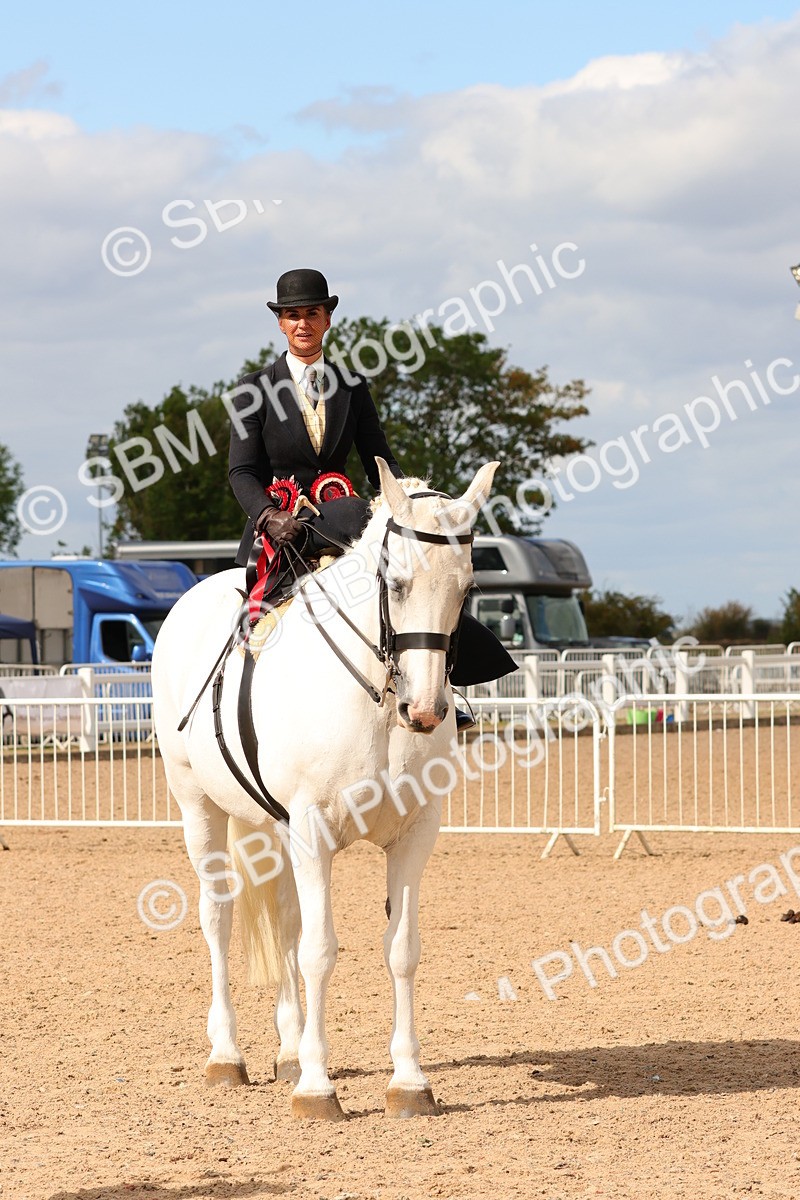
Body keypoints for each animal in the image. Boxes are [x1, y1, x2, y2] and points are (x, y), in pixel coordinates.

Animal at [151, 457, 498, 1119]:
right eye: (396, 583)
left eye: (466, 589)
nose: (425, 710)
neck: (377, 699)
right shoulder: (312, 831)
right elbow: (320, 950)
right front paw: (317, 1087)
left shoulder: (415, 834)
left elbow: (401, 949)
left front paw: (408, 1082)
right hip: (198, 808)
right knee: (219, 918)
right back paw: (227, 1056)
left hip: (272, 827)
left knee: (285, 921)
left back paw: (287, 1051)